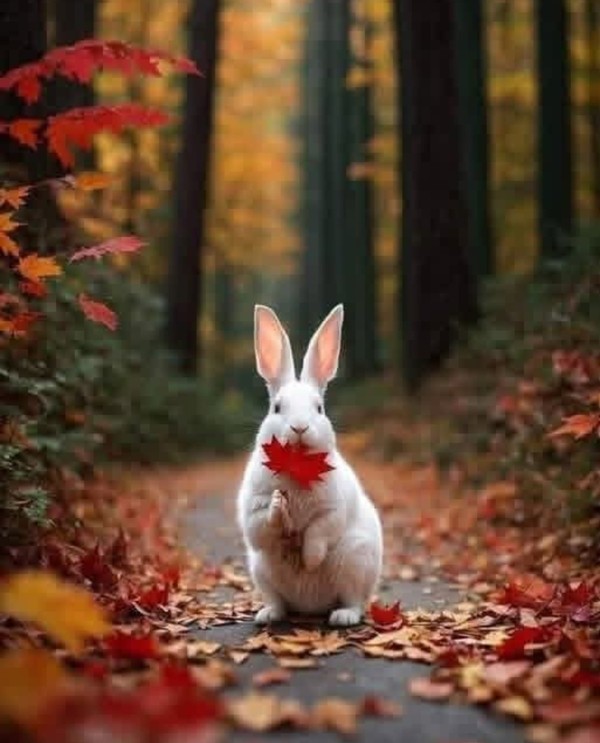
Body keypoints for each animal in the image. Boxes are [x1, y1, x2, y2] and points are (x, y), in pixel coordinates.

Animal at [236, 303, 383, 627]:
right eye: (277, 407)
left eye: (319, 408)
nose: (300, 427)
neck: (297, 468)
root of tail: (310, 608)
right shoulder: (253, 512)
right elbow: (263, 524)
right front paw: (279, 506)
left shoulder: (333, 510)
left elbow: (319, 530)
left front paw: (310, 560)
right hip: (260, 571)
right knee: (278, 602)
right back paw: (267, 615)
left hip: (356, 562)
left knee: (354, 601)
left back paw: (342, 617)